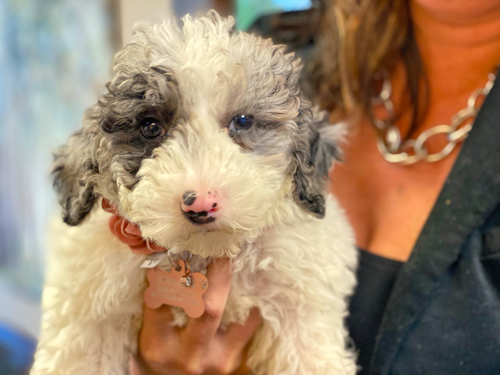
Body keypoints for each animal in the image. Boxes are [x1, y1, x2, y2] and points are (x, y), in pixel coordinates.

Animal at [31, 11, 358, 375]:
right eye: (150, 127)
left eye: (243, 121)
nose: (201, 204)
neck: (202, 254)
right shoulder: (89, 313)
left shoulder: (301, 312)